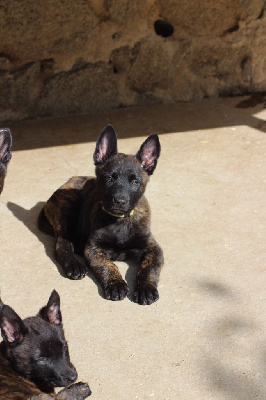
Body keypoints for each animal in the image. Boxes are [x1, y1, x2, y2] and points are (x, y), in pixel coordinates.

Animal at [39, 126, 164, 306]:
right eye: (109, 178)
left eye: (135, 182)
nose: (119, 201)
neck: (120, 221)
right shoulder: (94, 247)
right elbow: (107, 265)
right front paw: (116, 283)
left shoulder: (153, 247)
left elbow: (149, 267)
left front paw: (145, 288)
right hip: (68, 207)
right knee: (62, 243)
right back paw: (74, 264)